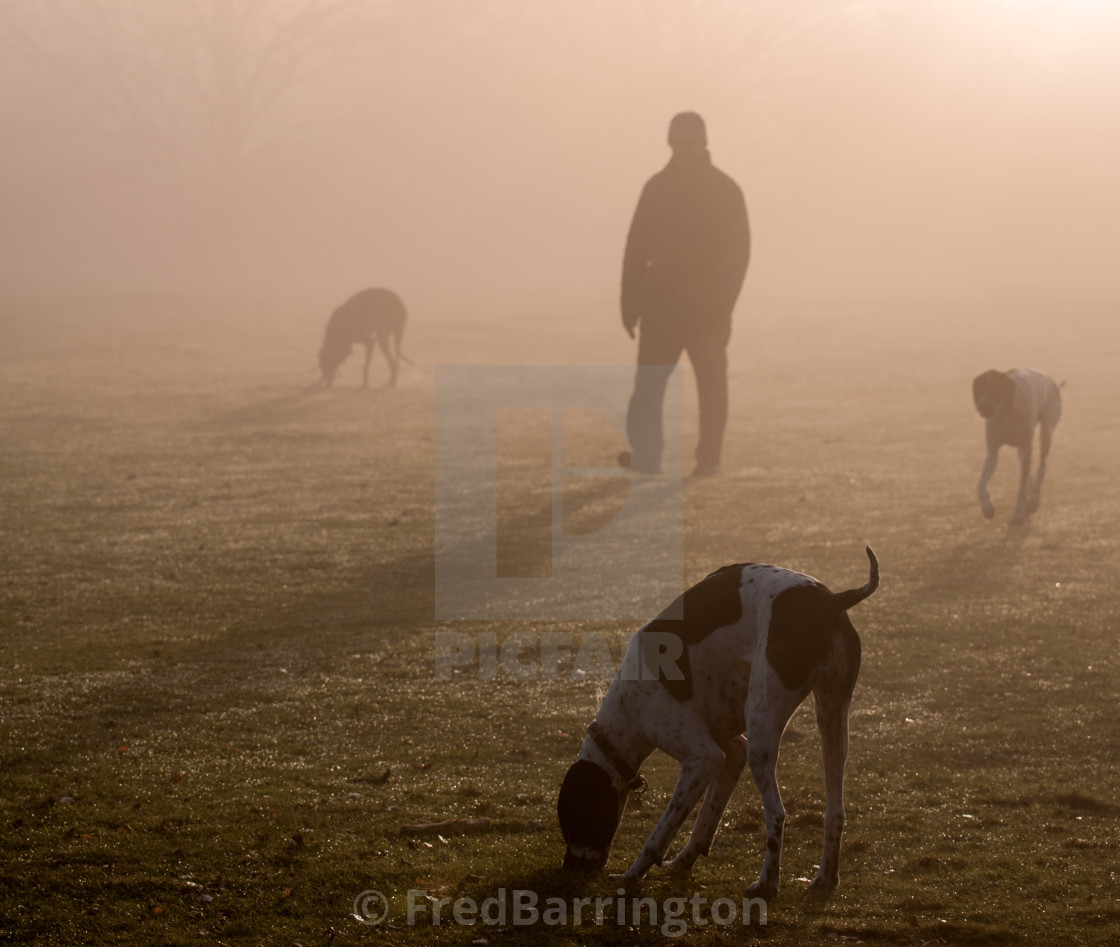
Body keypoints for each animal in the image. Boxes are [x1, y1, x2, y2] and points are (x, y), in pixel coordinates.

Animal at [555, 544, 878, 899]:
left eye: (576, 818)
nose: (568, 868)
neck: (626, 707)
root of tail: (831, 601)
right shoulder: (731, 751)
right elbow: (706, 820)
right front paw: (683, 861)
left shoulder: (702, 757)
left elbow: (658, 836)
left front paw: (633, 874)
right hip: (831, 722)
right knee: (835, 812)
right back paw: (826, 878)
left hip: (762, 732)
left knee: (777, 814)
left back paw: (767, 883)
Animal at [967, 367, 1061, 526]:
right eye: (980, 387)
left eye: (996, 387)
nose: (982, 406)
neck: (1006, 413)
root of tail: (1051, 381)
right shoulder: (992, 453)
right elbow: (980, 484)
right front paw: (987, 508)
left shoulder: (1027, 449)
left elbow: (1021, 489)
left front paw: (1017, 515)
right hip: (1022, 451)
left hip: (1046, 433)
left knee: (1041, 466)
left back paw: (1034, 500)